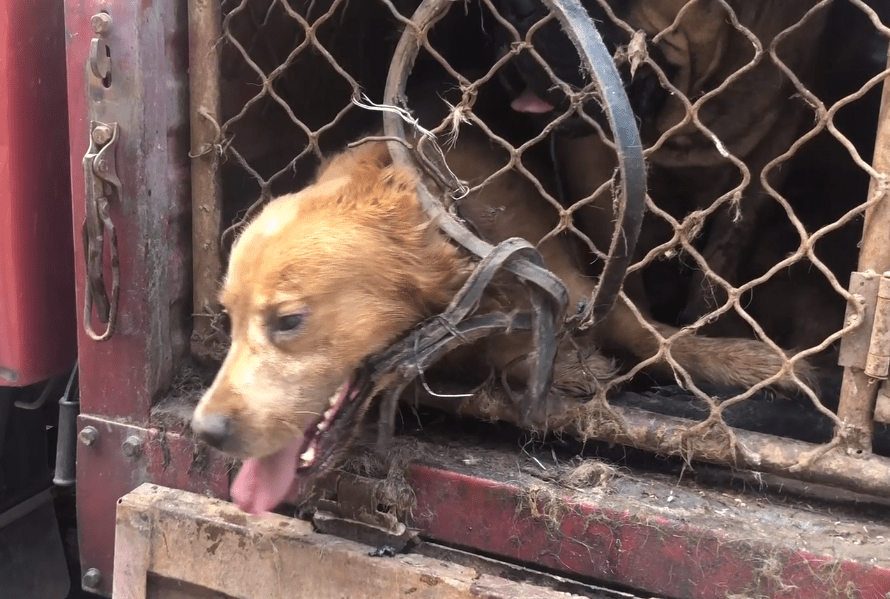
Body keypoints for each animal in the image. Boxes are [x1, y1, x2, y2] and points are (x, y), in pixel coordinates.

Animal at [191, 125, 816, 510]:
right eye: (228, 317)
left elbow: (663, 341)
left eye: (288, 321)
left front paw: (762, 363)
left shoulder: (588, 289)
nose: (205, 431)